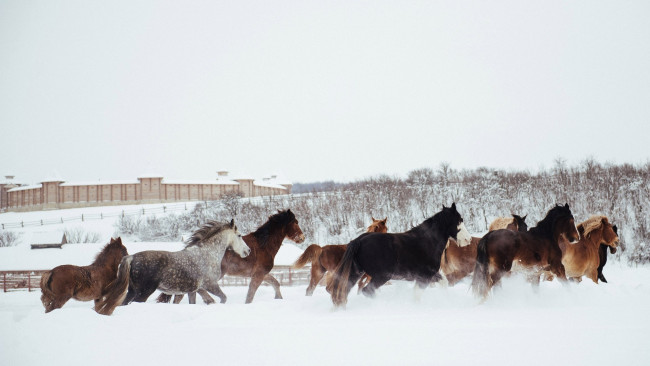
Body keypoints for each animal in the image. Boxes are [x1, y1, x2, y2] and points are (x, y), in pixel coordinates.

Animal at [94, 220, 248, 314]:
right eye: (239, 235)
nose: (248, 251)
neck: (208, 254)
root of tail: (131, 257)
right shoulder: (210, 285)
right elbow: (223, 298)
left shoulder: (193, 290)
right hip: (143, 293)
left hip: (131, 291)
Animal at [326, 204, 468, 308]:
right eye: (458, 221)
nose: (468, 239)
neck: (428, 241)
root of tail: (359, 241)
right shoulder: (425, 276)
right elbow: (417, 294)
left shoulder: (429, 275)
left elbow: (443, 283)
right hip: (381, 276)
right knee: (367, 290)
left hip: (355, 273)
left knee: (342, 291)